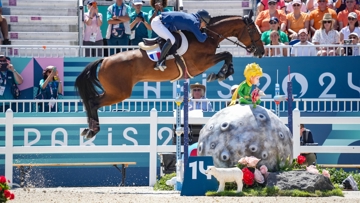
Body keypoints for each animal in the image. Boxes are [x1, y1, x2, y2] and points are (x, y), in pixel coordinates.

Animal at [74, 13, 264, 140]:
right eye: (255, 31)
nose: (261, 52)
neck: (207, 35)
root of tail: (105, 59)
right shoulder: (200, 63)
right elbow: (226, 54)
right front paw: (222, 73)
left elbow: (226, 55)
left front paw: (222, 73)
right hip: (119, 93)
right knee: (93, 102)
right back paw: (93, 130)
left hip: (115, 92)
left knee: (91, 102)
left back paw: (88, 130)